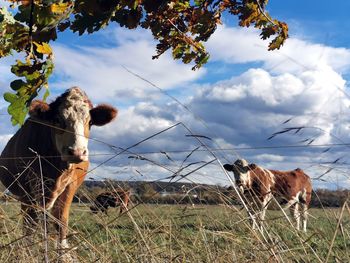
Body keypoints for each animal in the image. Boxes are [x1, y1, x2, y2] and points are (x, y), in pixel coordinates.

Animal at [0, 87, 118, 253]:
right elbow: (30, 223)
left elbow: (61, 220)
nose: (76, 152)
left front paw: (62, 252)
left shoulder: (71, 186)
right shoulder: (28, 187)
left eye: (90, 122)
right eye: (57, 120)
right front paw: (28, 249)